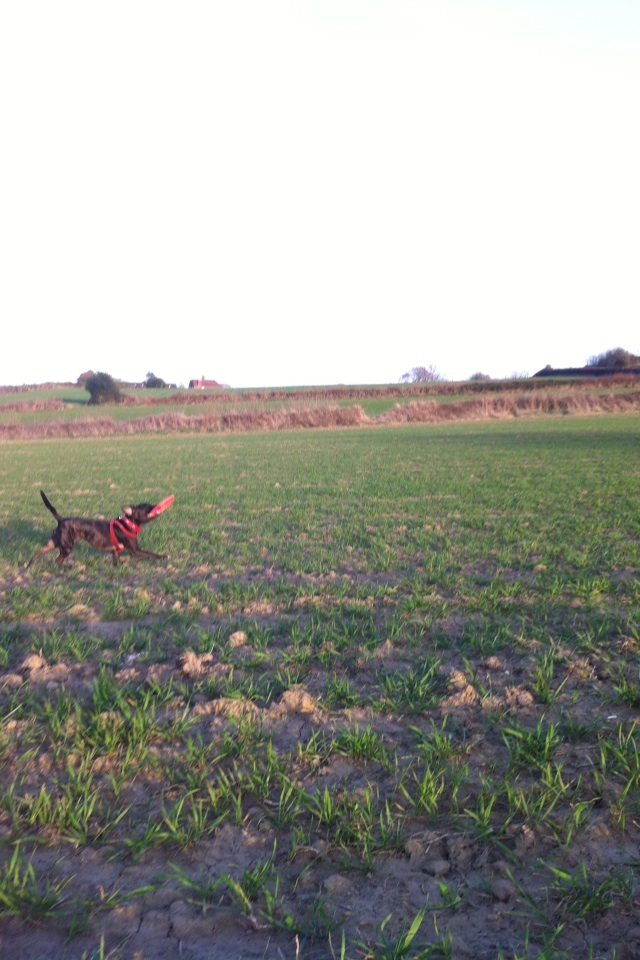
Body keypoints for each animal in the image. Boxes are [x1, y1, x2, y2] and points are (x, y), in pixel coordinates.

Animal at [26, 492, 174, 568]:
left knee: (40, 551)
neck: (127, 523)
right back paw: (66, 567)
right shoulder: (135, 551)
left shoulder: (115, 551)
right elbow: (151, 554)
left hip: (54, 542)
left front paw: (118, 567)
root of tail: (61, 520)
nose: (157, 505)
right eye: (147, 507)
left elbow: (116, 561)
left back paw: (29, 564)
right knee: (58, 560)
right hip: (66, 546)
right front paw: (163, 556)